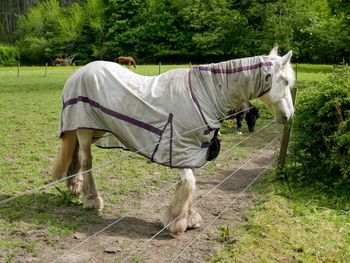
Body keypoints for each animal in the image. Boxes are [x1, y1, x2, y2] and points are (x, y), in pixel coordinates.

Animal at [50, 48, 294, 236]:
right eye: (285, 81)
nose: (289, 115)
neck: (204, 95)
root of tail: (79, 72)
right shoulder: (182, 149)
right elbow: (189, 183)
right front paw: (176, 221)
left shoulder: (190, 152)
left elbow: (189, 183)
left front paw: (189, 217)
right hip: (84, 128)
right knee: (86, 160)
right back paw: (92, 199)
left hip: (96, 129)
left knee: (76, 157)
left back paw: (74, 187)